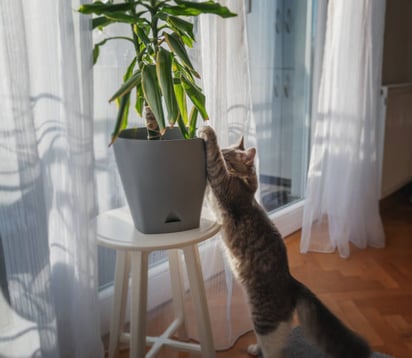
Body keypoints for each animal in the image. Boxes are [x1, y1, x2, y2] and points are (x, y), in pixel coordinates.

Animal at [198, 126, 372, 358]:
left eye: (226, 155)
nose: (224, 150)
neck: (246, 182)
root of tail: (292, 283)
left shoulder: (224, 185)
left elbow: (214, 163)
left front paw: (206, 131)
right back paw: (254, 349)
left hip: (264, 320)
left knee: (273, 349)